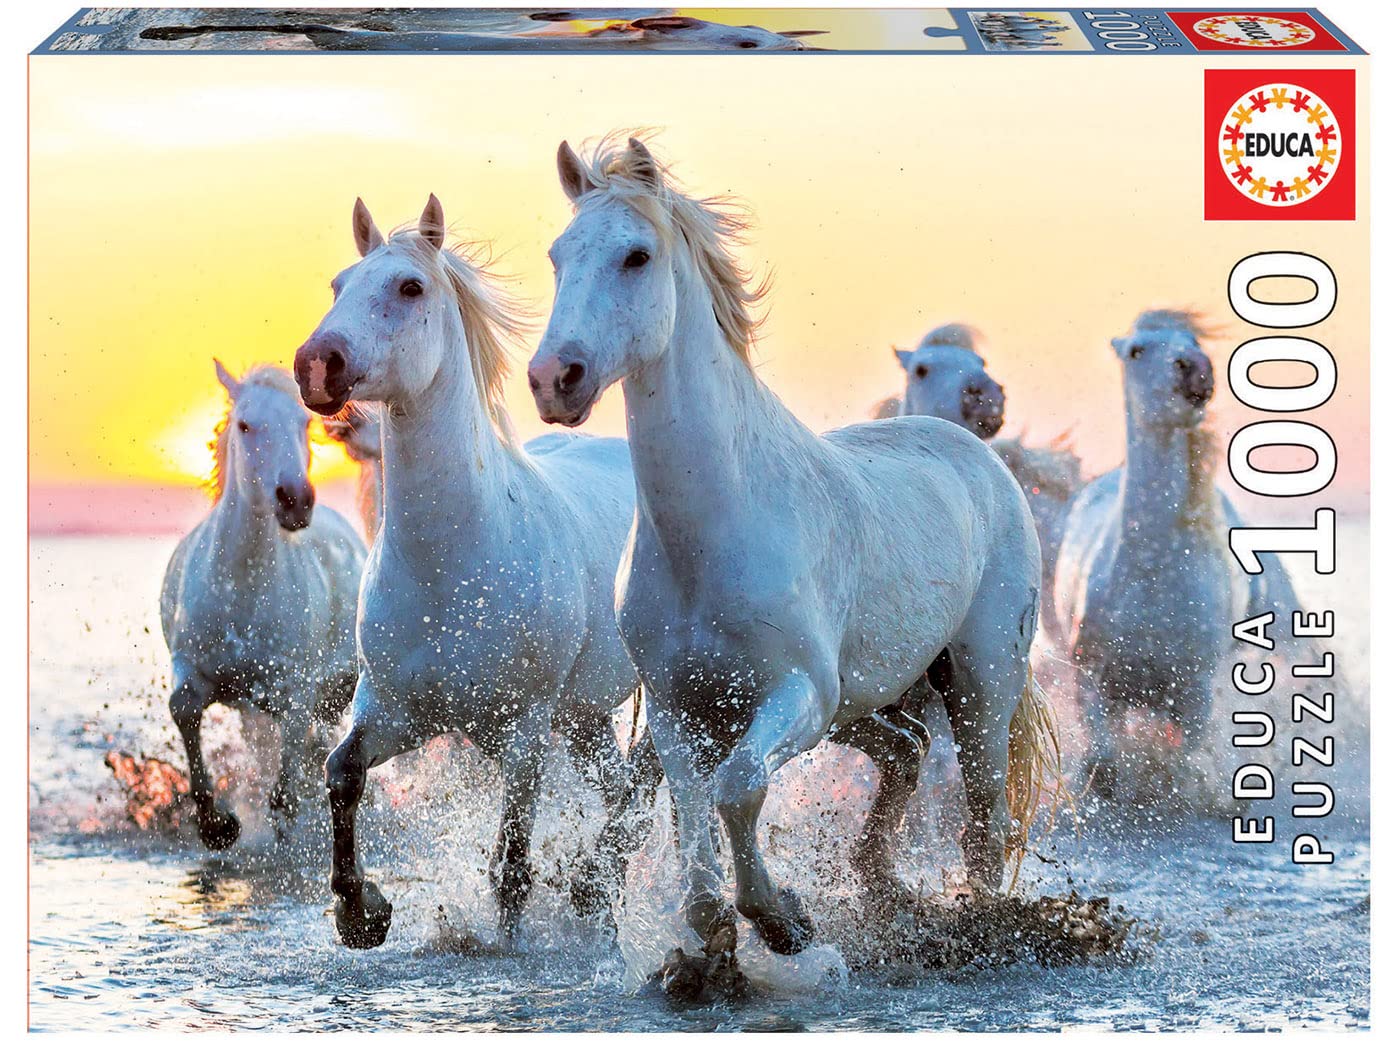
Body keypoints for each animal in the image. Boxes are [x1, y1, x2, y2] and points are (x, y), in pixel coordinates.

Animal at [159, 362, 365, 850]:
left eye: (304, 423)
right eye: (245, 425)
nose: (295, 500)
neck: (243, 590)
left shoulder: (296, 690)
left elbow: (285, 790)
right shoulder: (191, 666)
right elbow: (183, 708)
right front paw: (217, 825)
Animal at [528, 136, 1057, 958]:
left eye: (636, 256)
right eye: (558, 255)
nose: (556, 378)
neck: (712, 535)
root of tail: (981, 458)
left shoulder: (800, 693)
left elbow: (738, 787)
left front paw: (780, 918)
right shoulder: (679, 710)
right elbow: (688, 810)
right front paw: (714, 925)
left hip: (979, 683)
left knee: (985, 816)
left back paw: (974, 921)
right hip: (871, 701)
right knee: (907, 750)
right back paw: (877, 883)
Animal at [1052, 310, 1300, 791]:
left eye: (1193, 342)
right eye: (1136, 350)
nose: (1195, 369)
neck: (1153, 573)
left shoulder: (1194, 694)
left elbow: (1181, 764)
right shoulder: (1091, 677)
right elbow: (1103, 760)